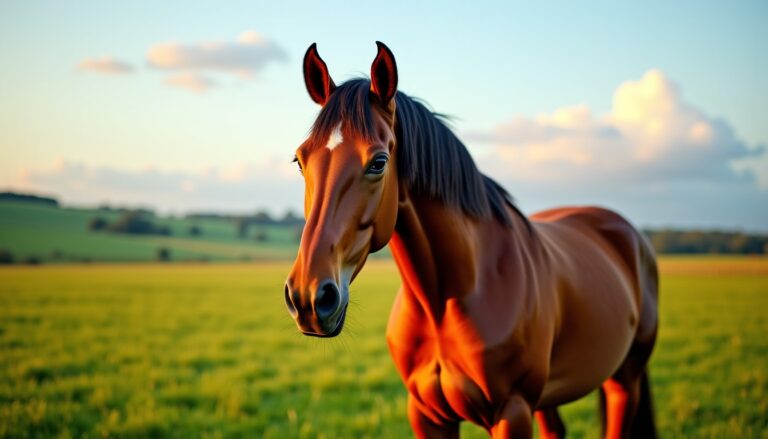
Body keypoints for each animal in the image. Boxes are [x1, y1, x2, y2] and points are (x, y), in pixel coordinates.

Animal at [284, 41, 659, 439]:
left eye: (378, 162)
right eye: (300, 160)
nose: (309, 297)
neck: (450, 299)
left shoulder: (513, 412)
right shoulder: (428, 415)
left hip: (624, 380)